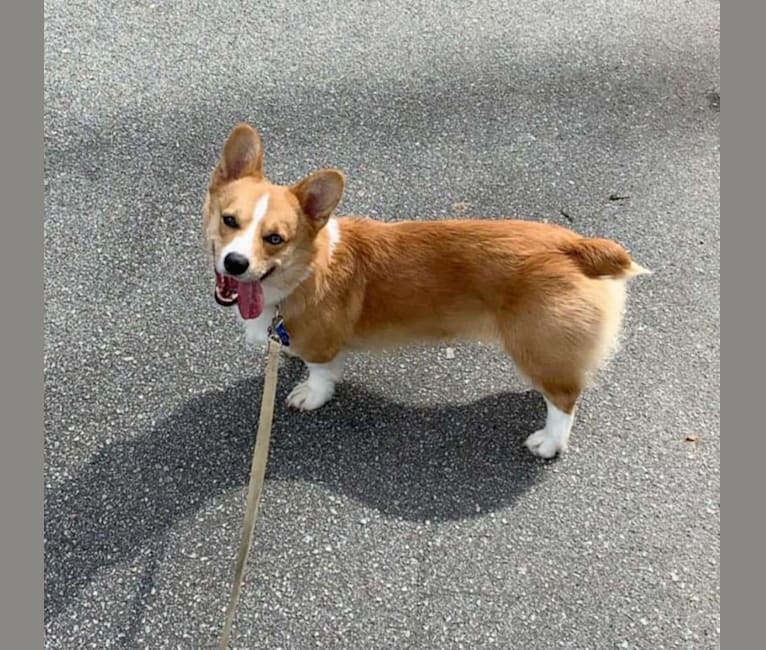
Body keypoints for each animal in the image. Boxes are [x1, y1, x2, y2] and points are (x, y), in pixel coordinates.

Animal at [201, 121, 652, 456]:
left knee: (565, 398)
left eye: (275, 238)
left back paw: (549, 442)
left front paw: (310, 393)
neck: (303, 271)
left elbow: (322, 373)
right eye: (229, 220)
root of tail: (575, 245)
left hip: (539, 344)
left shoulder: (322, 344)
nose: (235, 263)